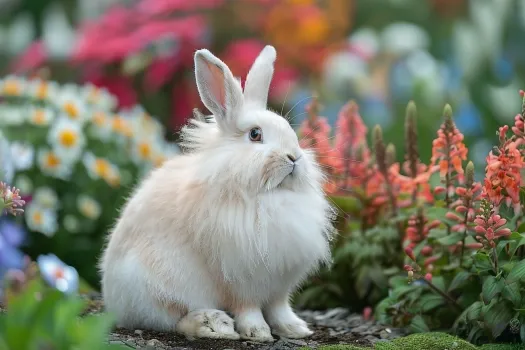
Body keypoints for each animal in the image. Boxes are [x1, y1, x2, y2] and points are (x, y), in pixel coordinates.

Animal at [100, 44, 334, 342]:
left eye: (289, 129)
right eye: (255, 134)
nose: (294, 157)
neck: (267, 196)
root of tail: (113, 303)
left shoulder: (280, 283)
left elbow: (279, 307)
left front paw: (296, 329)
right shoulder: (241, 277)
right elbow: (248, 307)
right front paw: (258, 332)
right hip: (155, 289)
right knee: (173, 321)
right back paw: (214, 325)